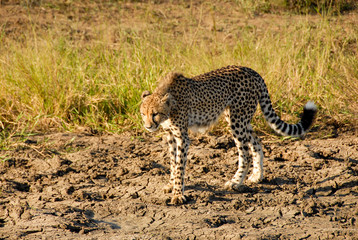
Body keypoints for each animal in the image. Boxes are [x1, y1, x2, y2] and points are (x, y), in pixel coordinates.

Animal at [140, 65, 316, 204]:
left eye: (155, 114)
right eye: (143, 113)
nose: (148, 126)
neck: (170, 105)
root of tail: (251, 71)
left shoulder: (182, 137)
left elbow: (179, 166)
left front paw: (178, 194)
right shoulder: (170, 135)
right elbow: (173, 161)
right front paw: (171, 185)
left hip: (237, 120)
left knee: (245, 153)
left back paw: (236, 182)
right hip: (238, 118)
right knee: (257, 142)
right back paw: (257, 176)